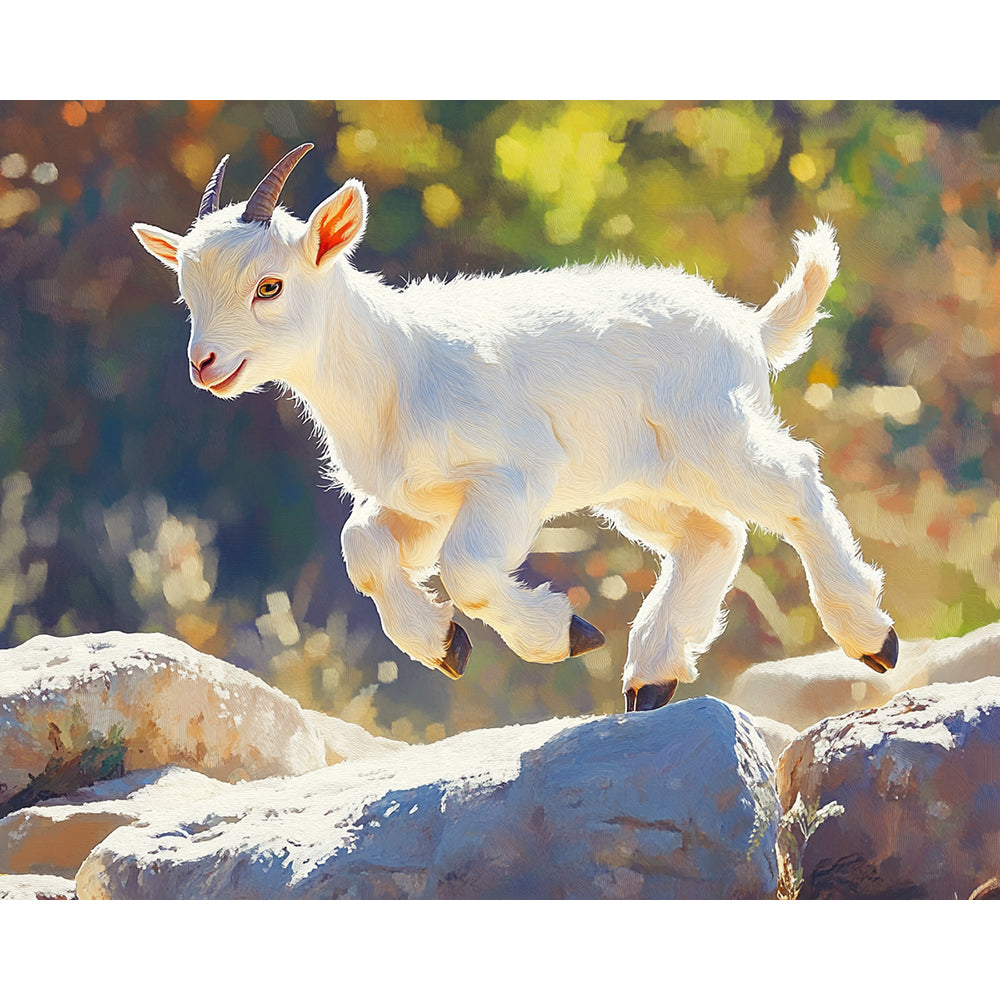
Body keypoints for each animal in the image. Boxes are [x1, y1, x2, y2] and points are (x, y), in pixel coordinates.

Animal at [133, 142, 898, 712]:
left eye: (269, 286)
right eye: (186, 293)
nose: (205, 364)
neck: (398, 366)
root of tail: (747, 329)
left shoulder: (512, 474)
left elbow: (467, 569)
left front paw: (564, 633)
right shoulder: (422, 501)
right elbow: (363, 549)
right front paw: (445, 646)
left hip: (713, 433)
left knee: (793, 481)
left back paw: (871, 639)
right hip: (639, 482)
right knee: (715, 534)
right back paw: (651, 678)